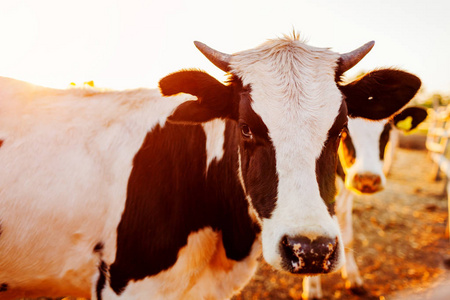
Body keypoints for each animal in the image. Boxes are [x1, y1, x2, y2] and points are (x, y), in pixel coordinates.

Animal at [302, 105, 426, 298]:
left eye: (387, 130)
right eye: (344, 130)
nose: (367, 179)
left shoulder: (346, 194)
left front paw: (353, 278)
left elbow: (348, 238)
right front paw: (312, 289)